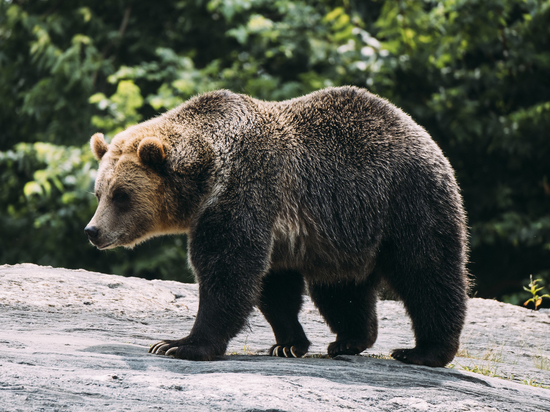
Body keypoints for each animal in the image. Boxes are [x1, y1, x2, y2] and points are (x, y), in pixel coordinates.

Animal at [85, 86, 470, 366]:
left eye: (122, 195)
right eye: (99, 192)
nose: (93, 231)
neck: (206, 176)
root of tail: (418, 129)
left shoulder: (245, 192)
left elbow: (228, 271)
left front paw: (177, 344)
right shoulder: (279, 229)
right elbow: (273, 287)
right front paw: (287, 344)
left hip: (404, 200)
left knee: (427, 270)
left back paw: (425, 350)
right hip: (344, 233)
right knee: (340, 289)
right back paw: (349, 340)